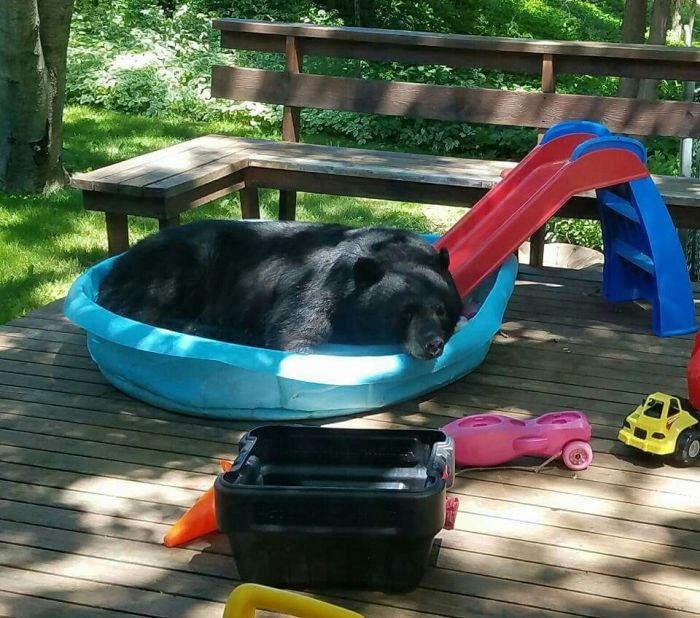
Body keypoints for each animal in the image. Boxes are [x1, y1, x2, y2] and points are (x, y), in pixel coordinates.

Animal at [97, 220, 460, 356]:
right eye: (406, 312)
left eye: (441, 309)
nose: (432, 344)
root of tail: (111, 272)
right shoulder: (318, 288)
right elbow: (294, 334)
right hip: (180, 261)